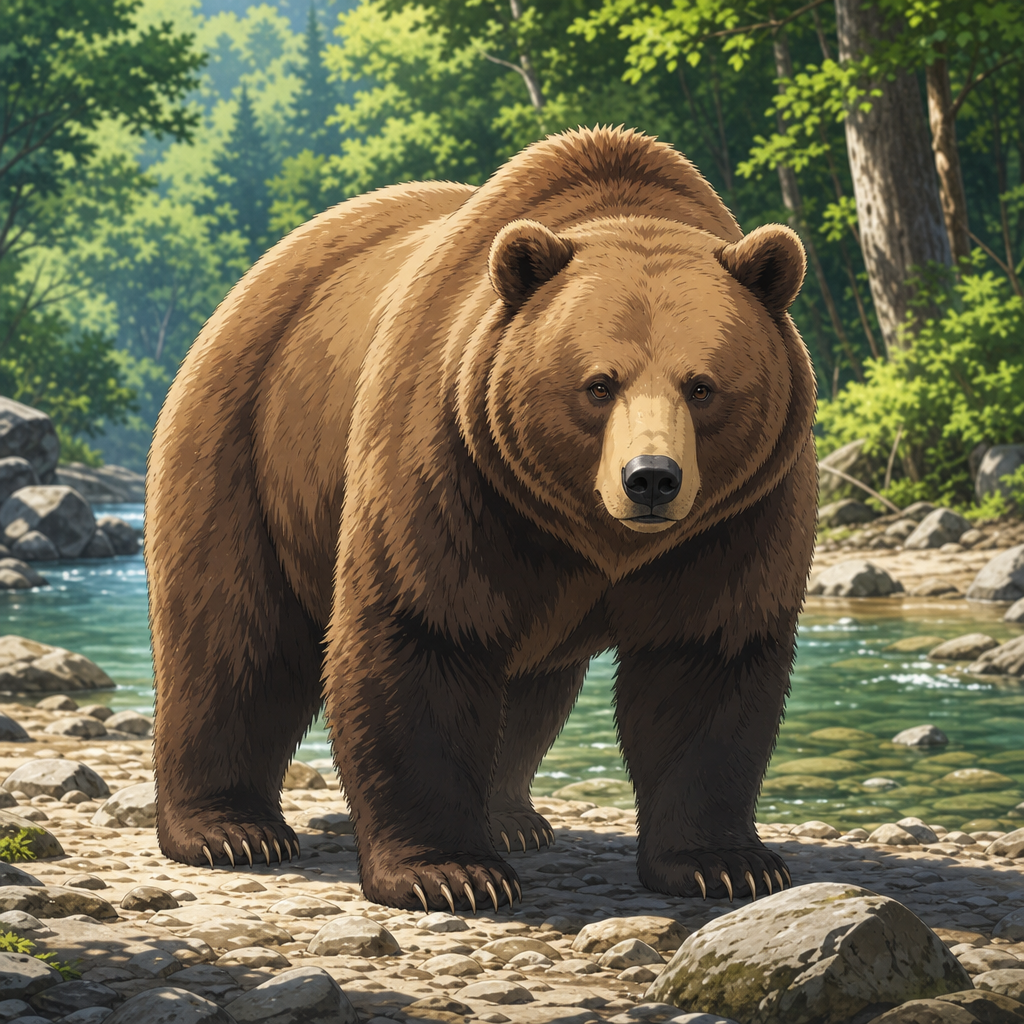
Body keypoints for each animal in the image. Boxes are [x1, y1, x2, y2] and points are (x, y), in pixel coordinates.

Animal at [146, 125, 817, 912]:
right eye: (598, 384)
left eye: (703, 386)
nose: (651, 479)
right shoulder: (448, 459)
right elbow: (423, 630)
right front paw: (448, 873)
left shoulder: (737, 517)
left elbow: (708, 657)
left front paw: (727, 863)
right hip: (247, 437)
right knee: (234, 638)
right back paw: (229, 830)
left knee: (529, 692)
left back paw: (511, 819)